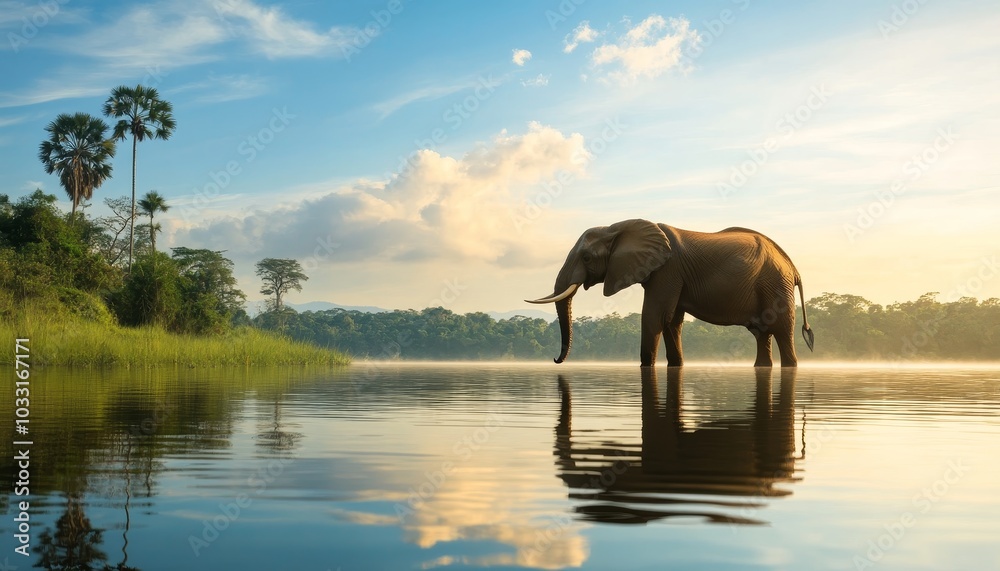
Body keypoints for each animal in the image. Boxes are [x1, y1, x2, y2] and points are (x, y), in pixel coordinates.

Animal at [526, 219, 815, 367]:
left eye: (586, 257)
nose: (555, 359)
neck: (617, 226)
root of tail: (793, 267)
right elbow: (671, 321)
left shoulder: (668, 270)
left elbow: (654, 317)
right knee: (761, 333)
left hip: (775, 284)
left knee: (782, 330)